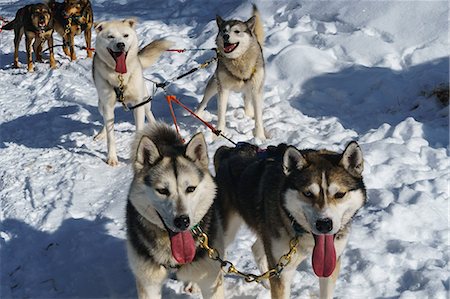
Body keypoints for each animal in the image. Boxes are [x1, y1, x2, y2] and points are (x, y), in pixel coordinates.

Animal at [92, 19, 172, 166]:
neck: (119, 76)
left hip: (145, 100)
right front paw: (112, 157)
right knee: (105, 121)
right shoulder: (107, 105)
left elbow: (139, 129)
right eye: (110, 36)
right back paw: (101, 133)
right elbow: (111, 136)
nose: (121, 44)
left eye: (125, 35)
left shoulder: (138, 103)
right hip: (101, 105)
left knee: (149, 113)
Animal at [195, 4, 266, 140]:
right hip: (214, 85)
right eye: (224, 30)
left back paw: (249, 113)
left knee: (246, 98)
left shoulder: (256, 90)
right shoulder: (223, 90)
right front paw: (219, 133)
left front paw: (260, 137)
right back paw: (197, 114)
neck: (238, 60)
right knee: (203, 101)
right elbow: (221, 114)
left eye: (237, 31)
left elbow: (259, 118)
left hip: (251, 87)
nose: (225, 36)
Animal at [214, 142, 366, 298]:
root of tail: (228, 151)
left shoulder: (331, 263)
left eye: (340, 194)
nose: (324, 224)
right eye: (308, 193)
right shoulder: (282, 272)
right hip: (228, 231)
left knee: (256, 249)